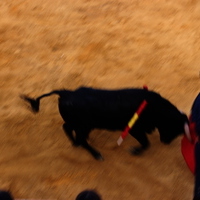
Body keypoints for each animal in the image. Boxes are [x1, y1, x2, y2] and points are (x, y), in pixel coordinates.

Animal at [21, 86, 191, 160]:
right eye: (173, 128)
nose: (166, 142)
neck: (154, 108)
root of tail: (65, 93)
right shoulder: (135, 129)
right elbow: (146, 143)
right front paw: (135, 151)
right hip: (84, 125)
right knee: (80, 138)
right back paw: (96, 154)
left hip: (79, 124)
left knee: (67, 128)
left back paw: (75, 143)